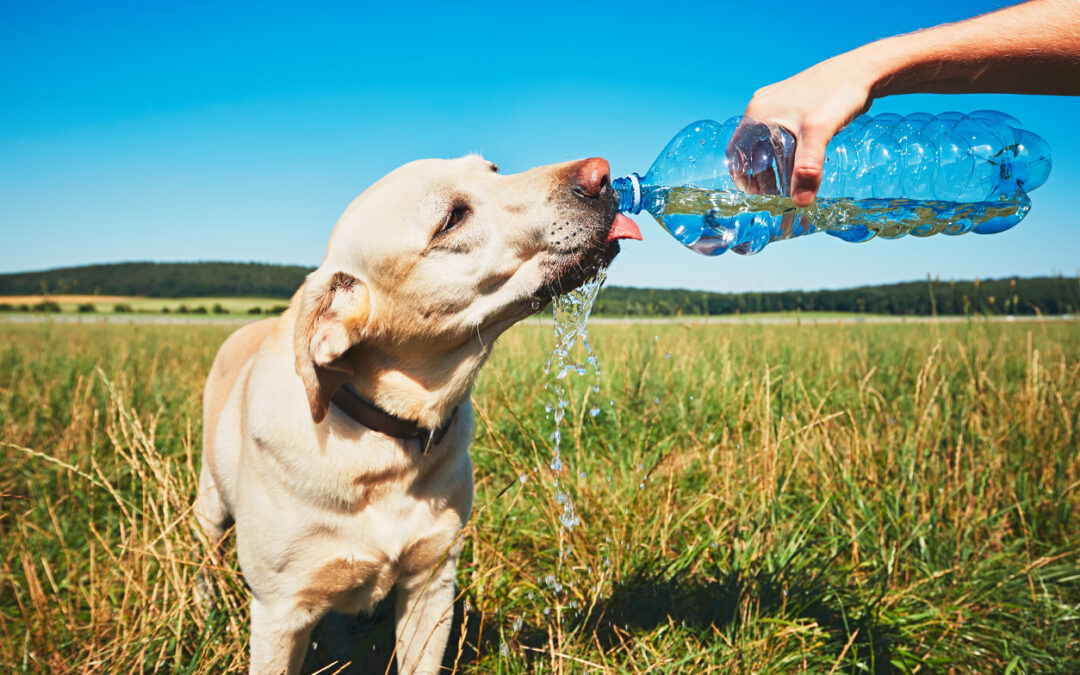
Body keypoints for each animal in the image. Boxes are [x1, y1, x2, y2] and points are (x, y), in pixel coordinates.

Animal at [195, 155, 639, 669]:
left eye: (493, 169)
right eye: (452, 219)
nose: (602, 173)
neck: (385, 443)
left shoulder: (431, 586)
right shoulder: (279, 613)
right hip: (209, 504)